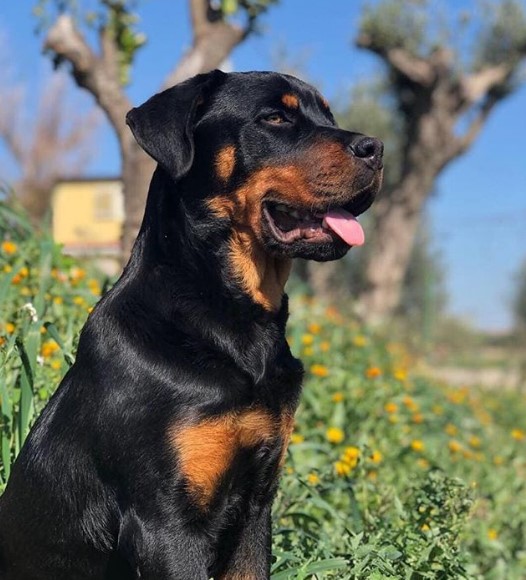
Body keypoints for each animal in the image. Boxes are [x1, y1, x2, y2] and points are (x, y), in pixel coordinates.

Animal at [0, 70, 384, 576]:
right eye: (275, 117)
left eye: (328, 116)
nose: (377, 148)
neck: (229, 319)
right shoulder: (165, 522)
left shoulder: (255, 506)